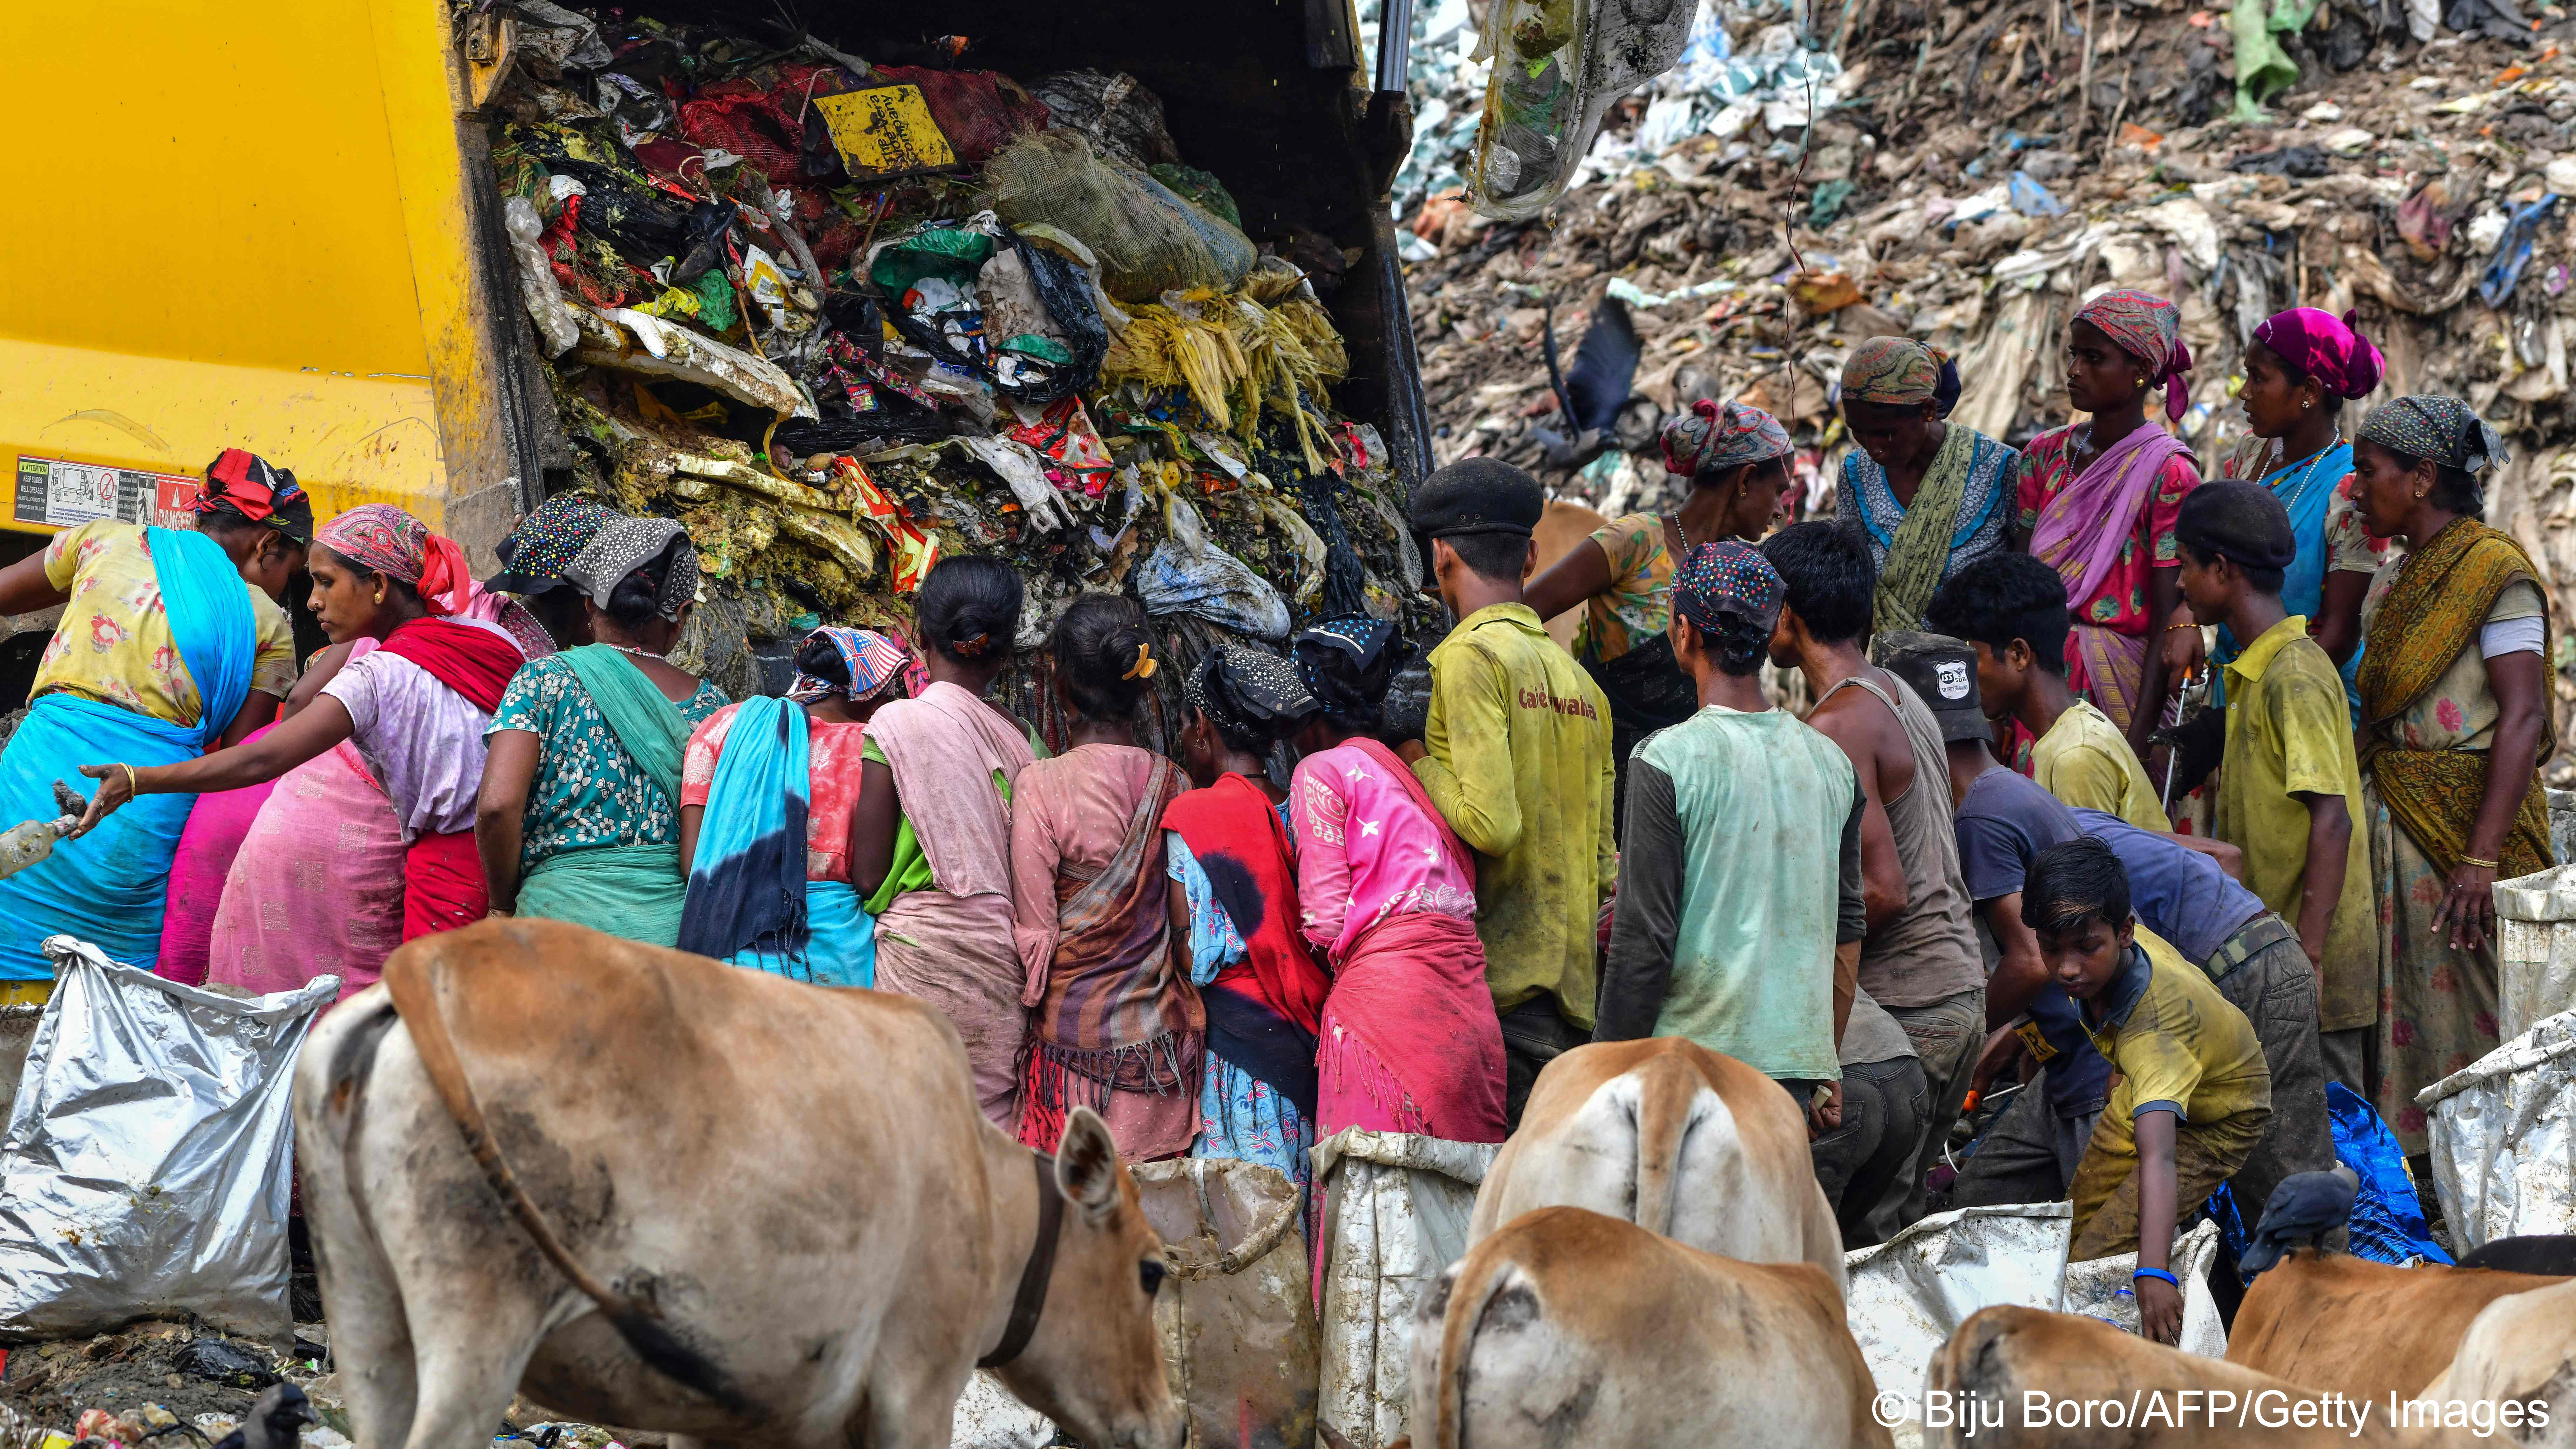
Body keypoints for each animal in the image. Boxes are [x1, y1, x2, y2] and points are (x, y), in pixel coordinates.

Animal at [295, 918, 1185, 1444]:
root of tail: (433, 961)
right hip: (476, 1330)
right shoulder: (919, 1386)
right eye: (1150, 1272)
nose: (1169, 1426)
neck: (991, 1194)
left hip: (367, 1321)